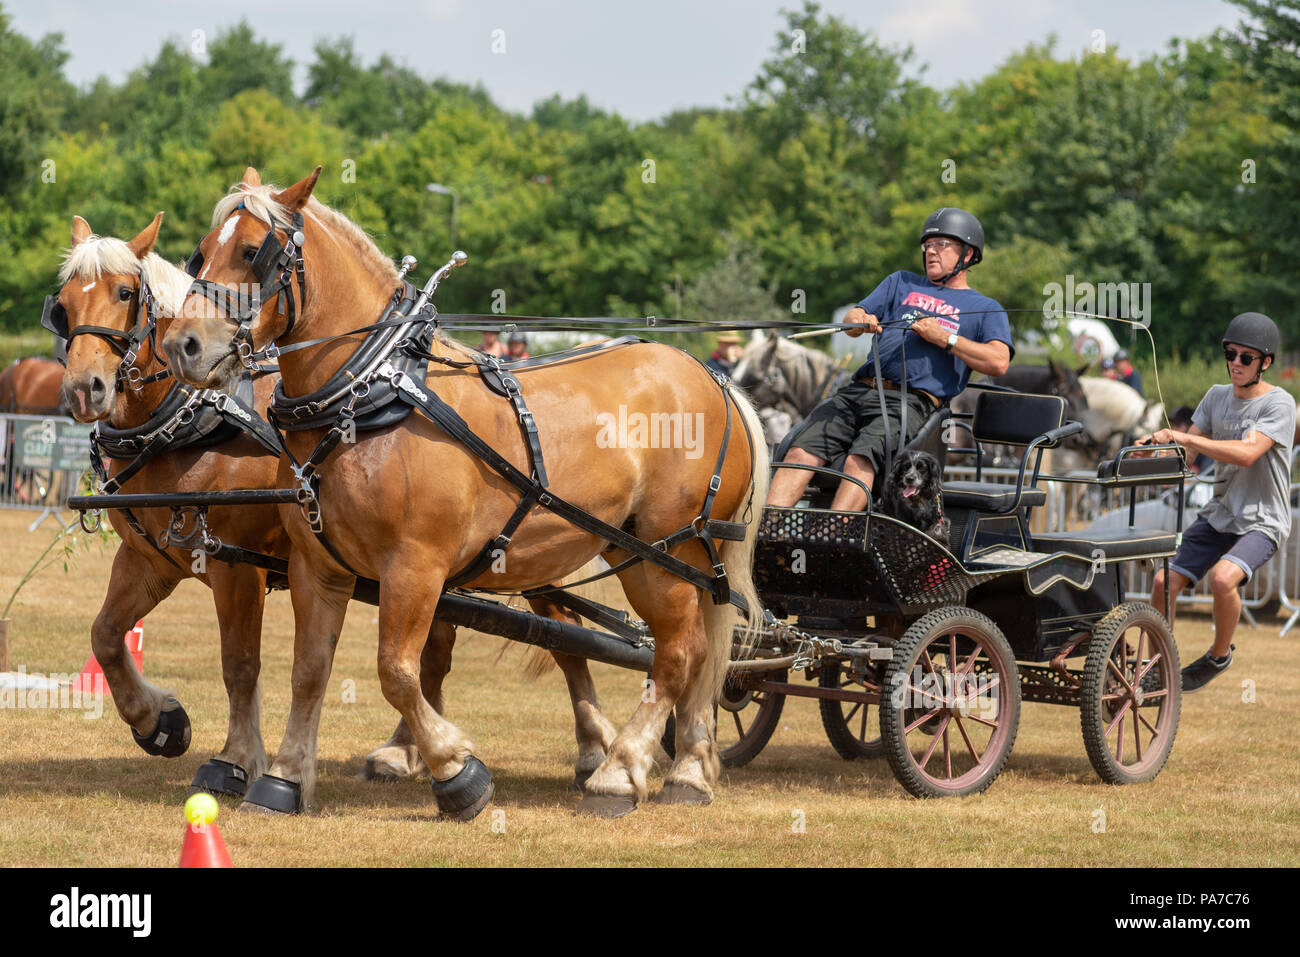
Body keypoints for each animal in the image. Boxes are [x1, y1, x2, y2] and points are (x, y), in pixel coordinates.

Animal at [162, 167, 769, 816]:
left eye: (254, 252)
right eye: (201, 251)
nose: (182, 346)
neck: (368, 394)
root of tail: (712, 377)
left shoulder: (416, 565)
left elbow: (397, 671)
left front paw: (457, 772)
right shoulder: (318, 565)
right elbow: (310, 670)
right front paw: (284, 778)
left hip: (670, 550)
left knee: (678, 654)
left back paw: (620, 770)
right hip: (643, 552)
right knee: (698, 654)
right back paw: (689, 770)